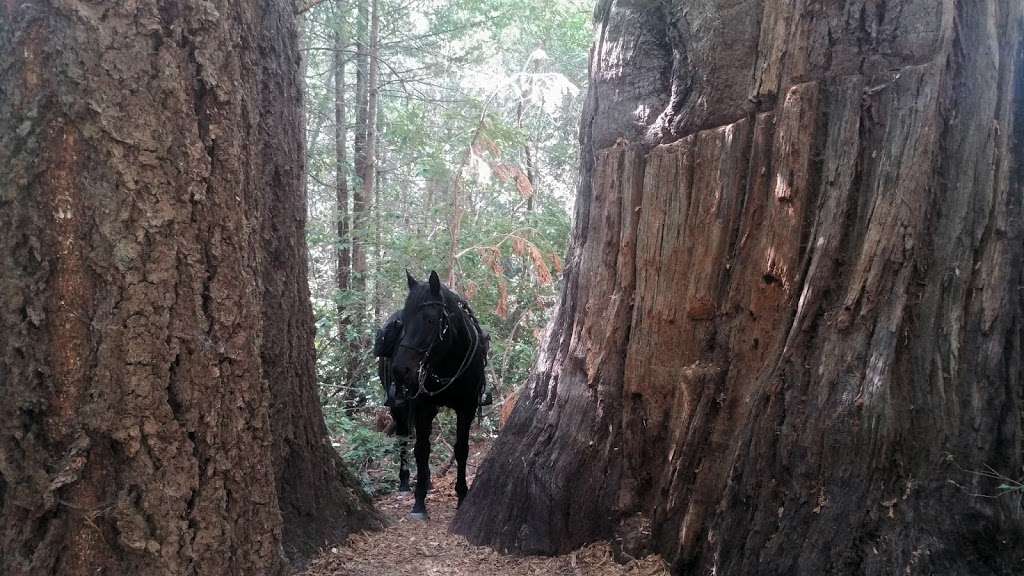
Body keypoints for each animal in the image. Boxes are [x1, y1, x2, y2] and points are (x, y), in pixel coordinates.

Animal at [376, 268, 487, 516]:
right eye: (403, 321)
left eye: (430, 319)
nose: (400, 369)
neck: (448, 362)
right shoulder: (422, 407)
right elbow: (422, 449)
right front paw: (419, 502)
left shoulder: (467, 408)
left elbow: (461, 450)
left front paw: (462, 495)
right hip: (399, 405)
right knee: (404, 436)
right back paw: (406, 482)